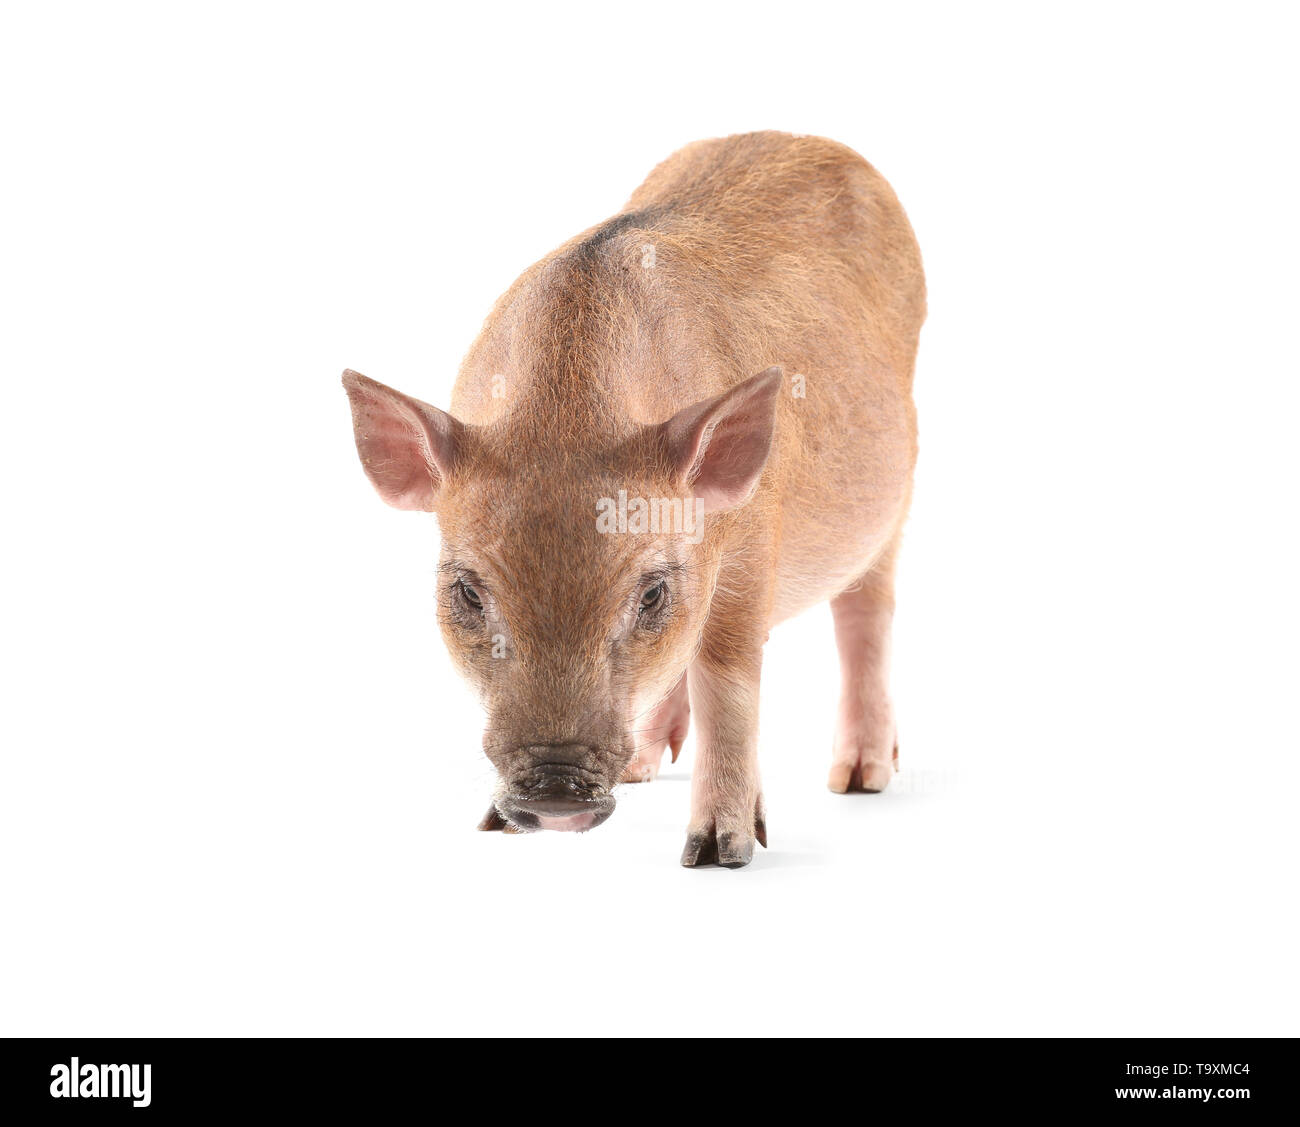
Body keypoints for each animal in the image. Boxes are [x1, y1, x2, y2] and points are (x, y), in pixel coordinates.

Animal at [343, 131, 925, 867]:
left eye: (651, 594)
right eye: (468, 592)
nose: (555, 794)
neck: (566, 416)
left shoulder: (749, 545)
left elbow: (727, 678)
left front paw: (720, 854)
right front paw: (495, 826)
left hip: (897, 497)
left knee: (866, 611)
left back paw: (858, 780)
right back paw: (645, 767)